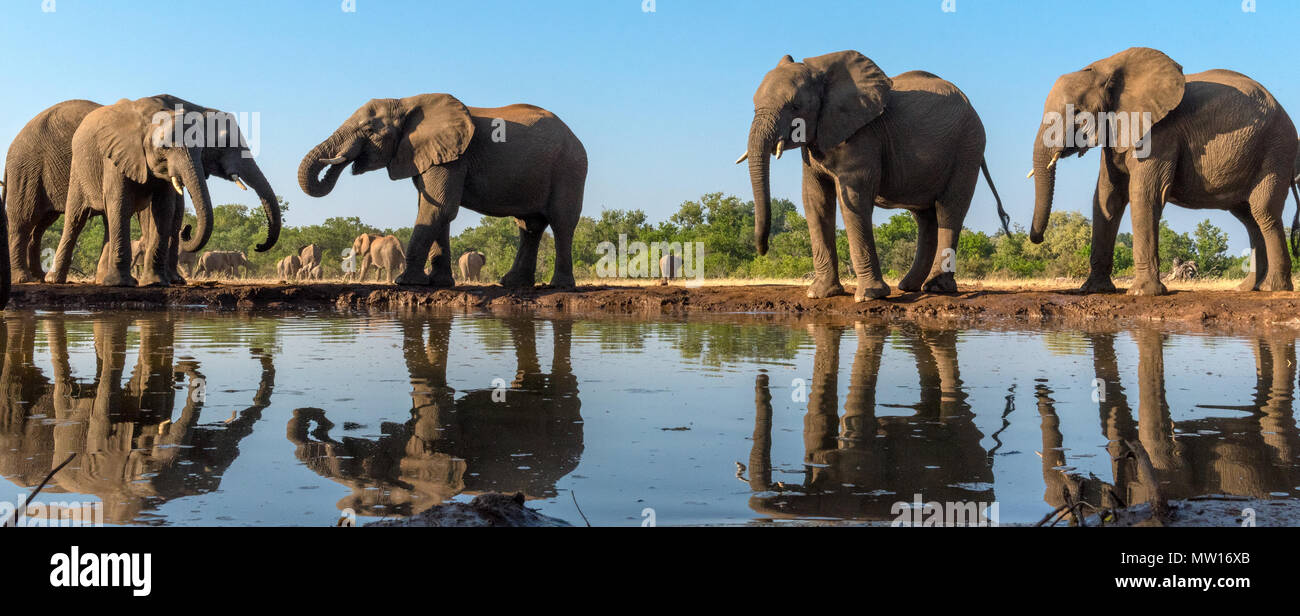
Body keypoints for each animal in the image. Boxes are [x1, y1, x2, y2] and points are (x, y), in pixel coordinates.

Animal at [45, 97, 218, 287]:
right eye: (165, 147)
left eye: (201, 149)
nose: (187, 230)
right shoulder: (115, 156)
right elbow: (121, 205)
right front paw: (121, 283)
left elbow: (163, 210)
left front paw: (154, 282)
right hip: (79, 170)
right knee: (75, 219)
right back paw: (54, 280)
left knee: (107, 219)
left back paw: (102, 280)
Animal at [297, 92, 587, 288]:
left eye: (369, 129)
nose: (342, 163)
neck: (407, 102)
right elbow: (436, 210)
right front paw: (439, 283)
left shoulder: (453, 157)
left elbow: (438, 209)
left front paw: (406, 282)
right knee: (529, 225)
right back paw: (513, 284)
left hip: (569, 168)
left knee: (561, 222)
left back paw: (559, 286)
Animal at [738, 51, 1008, 301]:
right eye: (753, 105)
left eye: (795, 106)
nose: (762, 249)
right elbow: (815, 200)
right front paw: (820, 294)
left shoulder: (862, 136)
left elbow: (854, 199)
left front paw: (869, 296)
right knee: (926, 216)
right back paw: (909, 287)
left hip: (968, 147)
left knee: (949, 209)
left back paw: (936, 288)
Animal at [1024, 48, 1300, 293]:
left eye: (1078, 114)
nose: (1037, 239)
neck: (1107, 68)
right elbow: (1106, 197)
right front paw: (1093, 290)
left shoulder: (1160, 132)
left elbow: (1144, 194)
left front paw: (1142, 293)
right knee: (1249, 217)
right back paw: (1248, 288)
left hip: (1276, 150)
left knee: (1263, 211)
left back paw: (1273, 288)